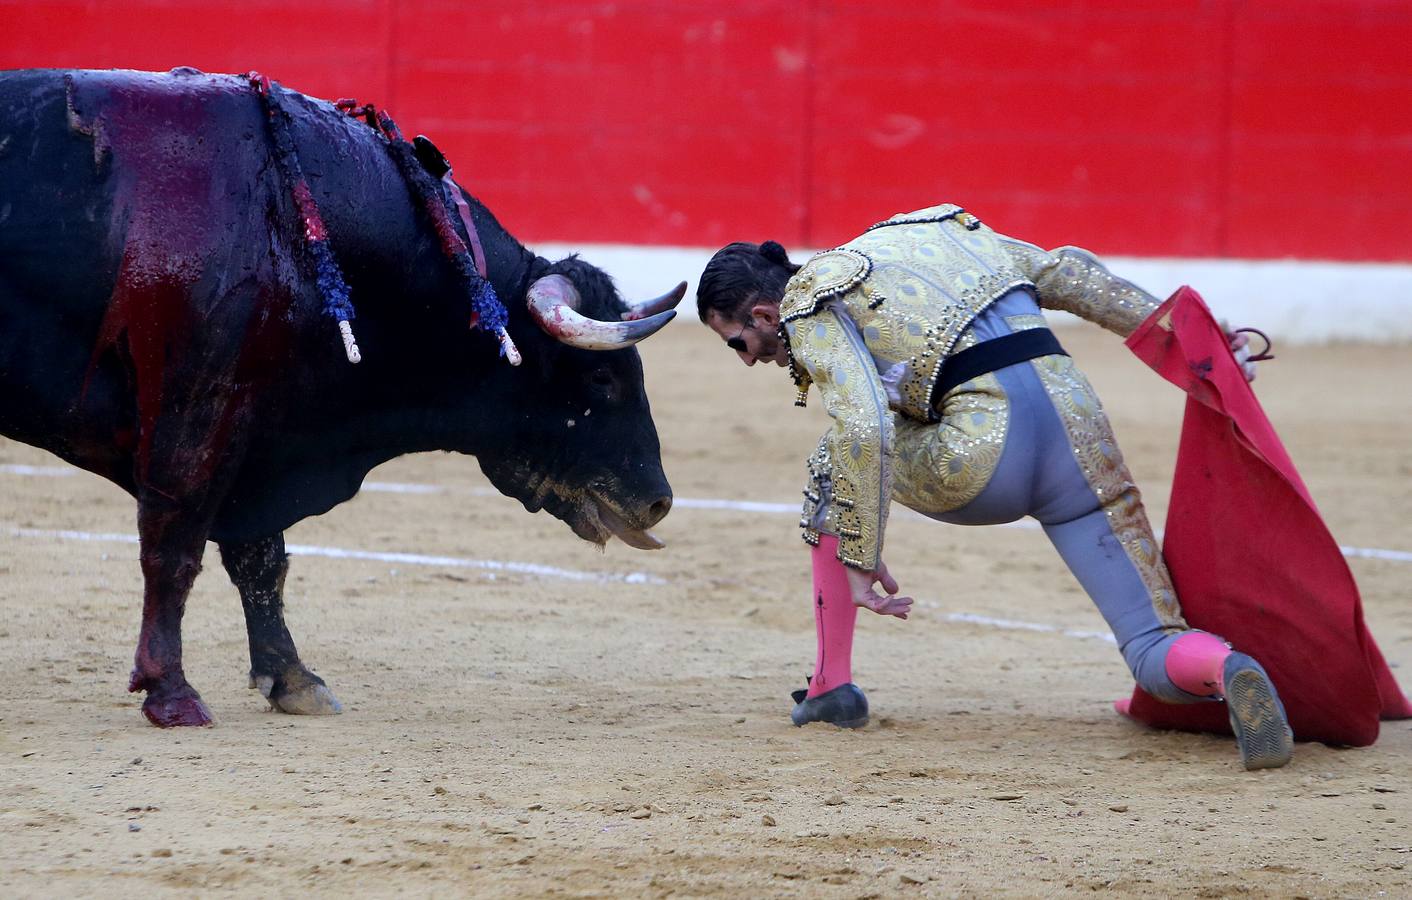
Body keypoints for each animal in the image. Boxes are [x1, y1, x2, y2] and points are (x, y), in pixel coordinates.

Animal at [0, 72, 683, 729]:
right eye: (602, 379)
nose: (658, 501)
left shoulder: (259, 432)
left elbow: (260, 558)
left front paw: (293, 680)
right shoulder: (194, 416)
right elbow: (173, 549)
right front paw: (172, 694)